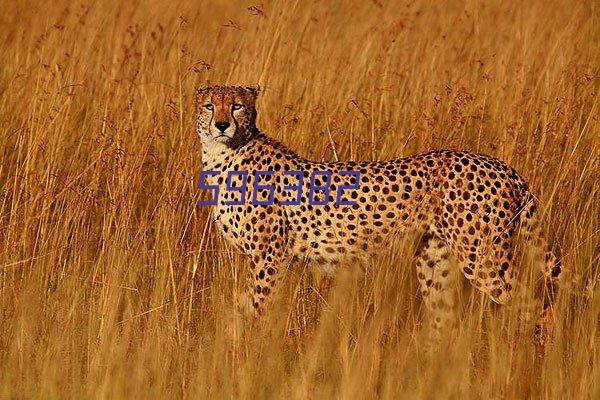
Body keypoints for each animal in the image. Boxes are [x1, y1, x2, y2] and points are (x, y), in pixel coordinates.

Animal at [197, 85, 564, 350]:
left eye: (237, 105)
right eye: (209, 105)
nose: (222, 124)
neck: (225, 154)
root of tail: (502, 165)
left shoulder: (270, 256)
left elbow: (256, 309)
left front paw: (252, 355)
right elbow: (240, 309)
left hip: (482, 256)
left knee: (536, 305)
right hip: (433, 260)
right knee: (444, 321)